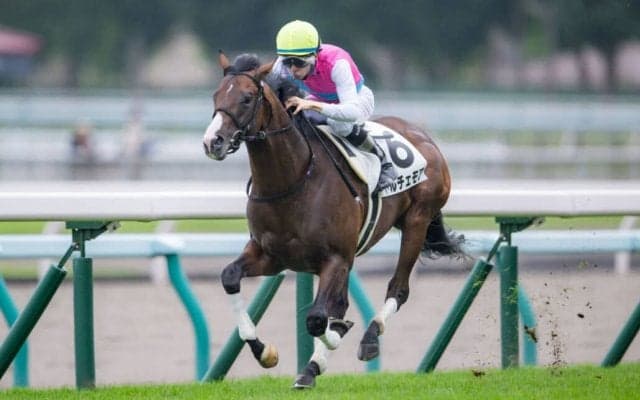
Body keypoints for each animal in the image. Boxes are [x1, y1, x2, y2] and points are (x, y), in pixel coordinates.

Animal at [202, 52, 464, 389]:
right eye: (216, 95)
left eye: (247, 98)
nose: (213, 142)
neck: (293, 179)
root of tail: (423, 136)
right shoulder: (271, 255)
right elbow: (230, 277)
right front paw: (265, 352)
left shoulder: (335, 258)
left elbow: (316, 319)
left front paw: (338, 334)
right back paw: (312, 367)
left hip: (417, 222)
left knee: (398, 289)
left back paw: (368, 338)